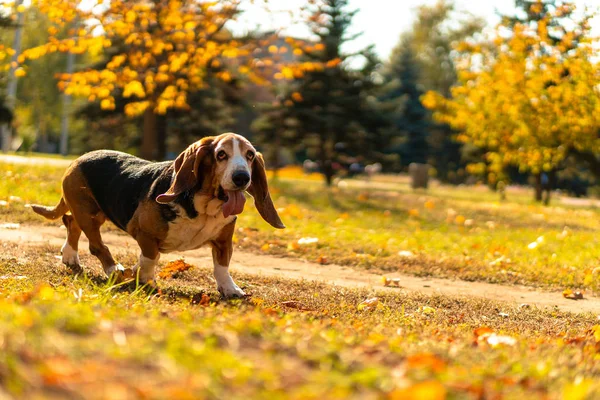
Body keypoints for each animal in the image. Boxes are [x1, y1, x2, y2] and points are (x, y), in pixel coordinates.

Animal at [31, 134, 284, 296]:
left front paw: (230, 289)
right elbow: (150, 258)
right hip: (89, 214)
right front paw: (143, 279)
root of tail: (77, 160)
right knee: (95, 244)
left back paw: (70, 256)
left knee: (71, 222)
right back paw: (112, 269)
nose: (242, 177)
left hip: (94, 212)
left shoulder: (223, 241)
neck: (204, 208)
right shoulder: (144, 233)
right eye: (221, 154)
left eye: (250, 155)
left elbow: (222, 267)